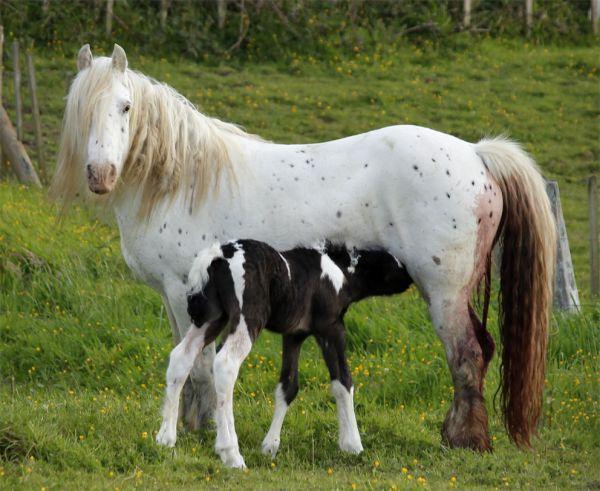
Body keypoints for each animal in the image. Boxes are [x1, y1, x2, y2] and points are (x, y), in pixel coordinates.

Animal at [156, 240, 412, 468]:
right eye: (394, 262)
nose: (410, 277)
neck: (340, 272)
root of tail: (218, 255)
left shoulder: (294, 335)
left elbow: (288, 386)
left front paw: (270, 446)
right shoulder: (331, 327)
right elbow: (343, 381)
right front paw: (353, 445)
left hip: (211, 318)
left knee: (181, 357)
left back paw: (165, 438)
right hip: (248, 316)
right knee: (226, 364)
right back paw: (230, 454)